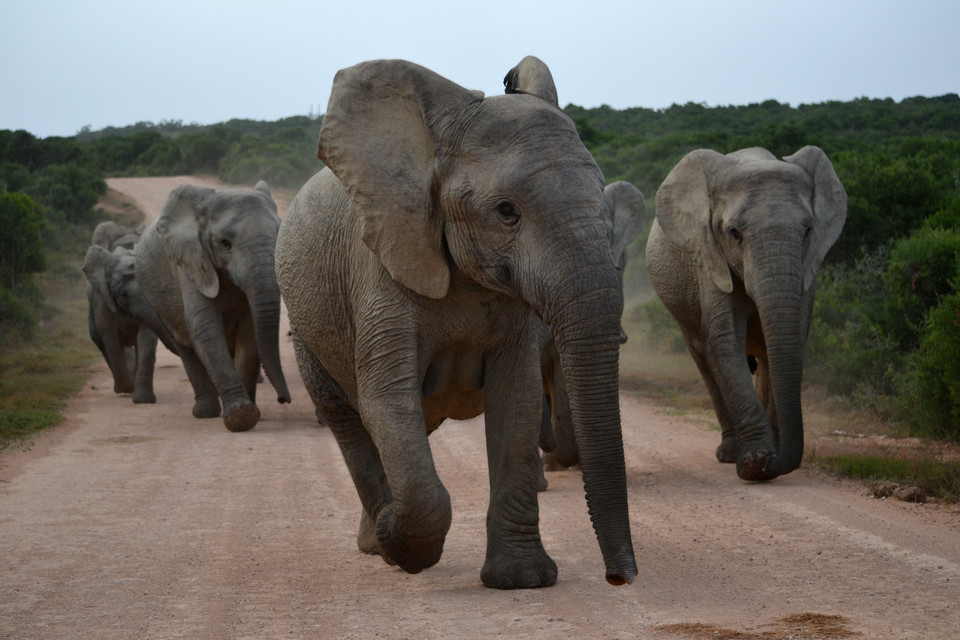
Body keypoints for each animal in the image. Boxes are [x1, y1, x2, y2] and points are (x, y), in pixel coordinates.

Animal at [82, 242, 180, 402]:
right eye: (123, 294)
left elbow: (147, 337)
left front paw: (143, 401)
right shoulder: (103, 301)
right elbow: (111, 339)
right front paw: (127, 388)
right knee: (99, 340)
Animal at [136, 178, 288, 432]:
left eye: (279, 233)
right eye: (224, 243)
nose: (283, 399)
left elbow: (249, 334)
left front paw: (249, 413)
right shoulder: (190, 262)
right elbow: (206, 328)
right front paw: (241, 415)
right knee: (184, 346)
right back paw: (206, 412)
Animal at [278, 58, 636, 592]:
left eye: (600, 197)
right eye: (506, 212)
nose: (620, 578)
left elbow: (517, 398)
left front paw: (521, 580)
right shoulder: (382, 266)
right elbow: (388, 397)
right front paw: (399, 544)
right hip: (306, 330)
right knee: (348, 417)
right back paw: (377, 538)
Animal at [644, 146, 848, 480]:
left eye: (807, 231)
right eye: (734, 234)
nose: (771, 463)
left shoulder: (808, 269)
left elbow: (792, 342)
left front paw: (767, 458)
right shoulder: (709, 258)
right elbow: (726, 344)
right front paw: (754, 463)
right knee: (705, 360)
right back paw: (729, 454)